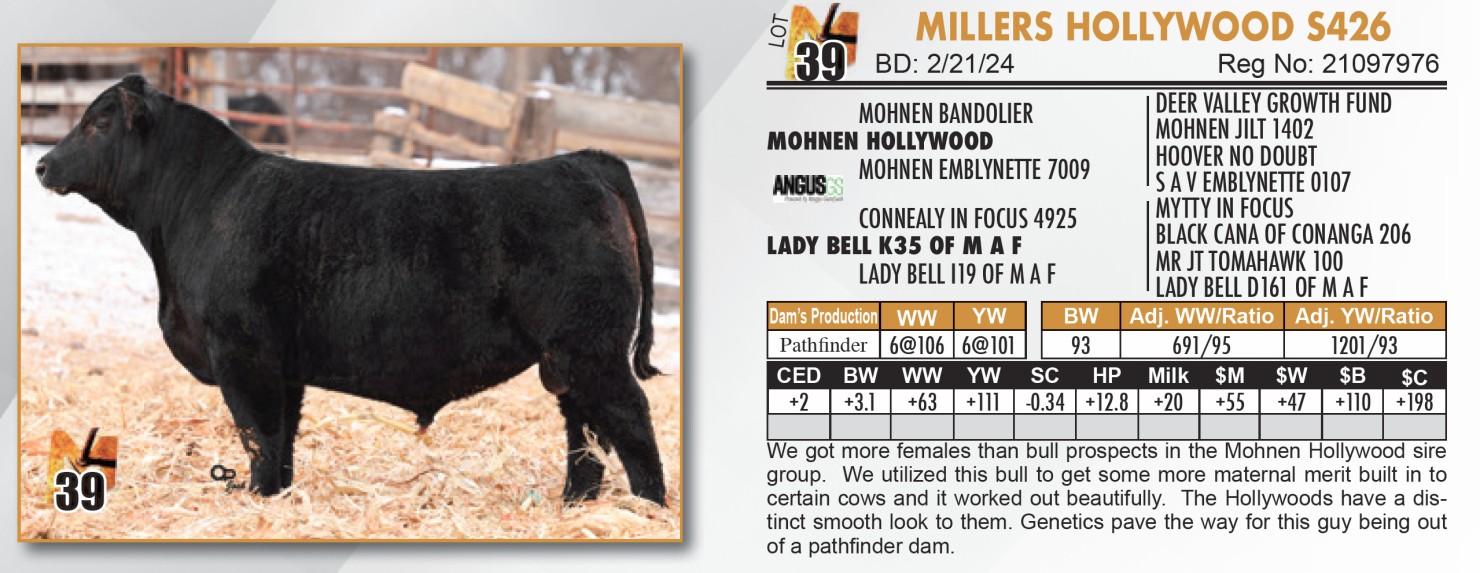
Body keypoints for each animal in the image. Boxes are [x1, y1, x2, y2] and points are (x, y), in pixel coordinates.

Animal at [34, 75, 667, 505]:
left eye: (98, 123)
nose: (42, 165)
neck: (200, 206)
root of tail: (582, 161)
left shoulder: (242, 353)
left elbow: (258, 436)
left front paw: (256, 498)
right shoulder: (282, 366)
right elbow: (282, 440)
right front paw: (278, 498)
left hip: (592, 348)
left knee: (629, 419)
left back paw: (648, 508)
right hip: (568, 358)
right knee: (585, 432)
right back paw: (574, 507)